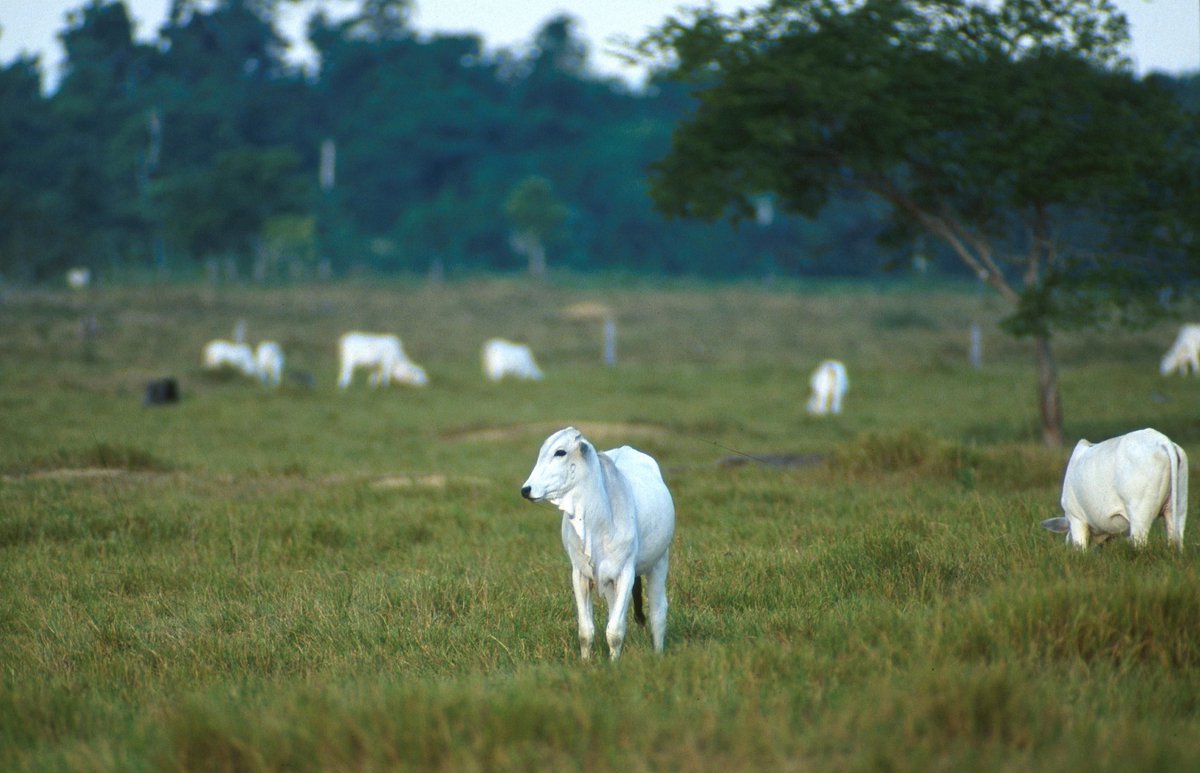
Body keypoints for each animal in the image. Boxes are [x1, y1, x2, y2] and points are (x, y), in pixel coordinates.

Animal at [521, 427, 675, 660]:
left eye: (560, 452)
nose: (526, 489)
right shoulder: (580, 574)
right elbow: (586, 631)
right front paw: (586, 662)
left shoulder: (626, 572)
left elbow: (615, 631)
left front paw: (614, 664)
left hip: (659, 562)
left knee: (658, 613)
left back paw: (658, 653)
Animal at [1041, 428, 1188, 551]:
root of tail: (1162, 440)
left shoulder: (1076, 517)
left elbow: (1080, 548)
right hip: (1178, 508)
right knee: (1176, 539)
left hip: (1140, 513)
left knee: (1140, 543)